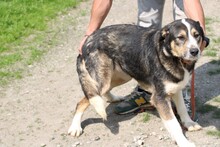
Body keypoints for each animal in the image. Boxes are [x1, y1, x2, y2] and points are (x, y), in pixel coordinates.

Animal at [69, 18, 205, 147]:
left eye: (196, 35)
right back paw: (75, 127)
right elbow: (174, 124)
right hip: (102, 80)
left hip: (121, 76)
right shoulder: (160, 98)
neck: (172, 57)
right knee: (83, 101)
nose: (195, 51)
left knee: (101, 92)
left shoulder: (176, 89)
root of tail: (87, 40)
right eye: (180, 37)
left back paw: (113, 98)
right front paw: (184, 142)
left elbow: (182, 109)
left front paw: (189, 124)